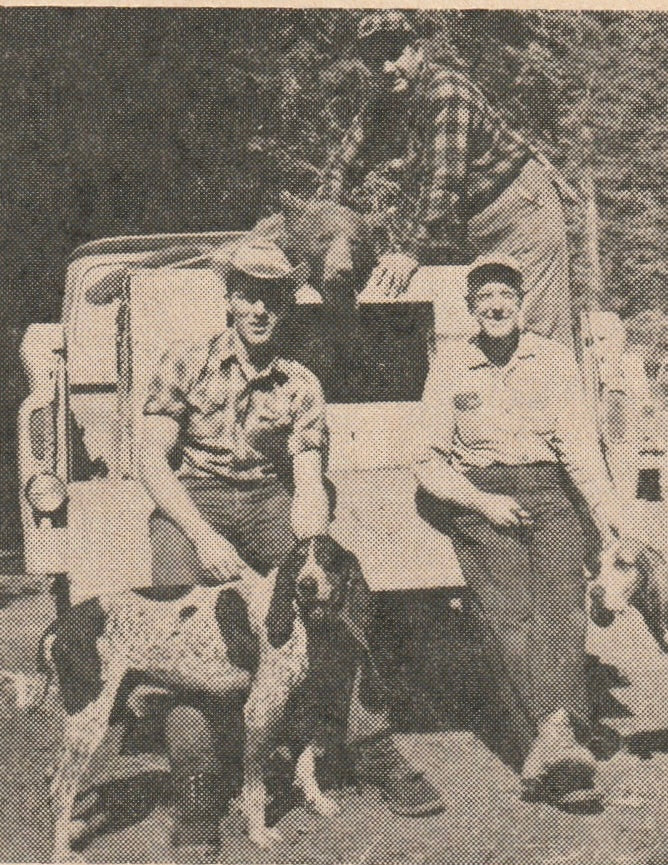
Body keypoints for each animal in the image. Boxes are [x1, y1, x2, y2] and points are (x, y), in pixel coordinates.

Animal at [0, 532, 370, 856]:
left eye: (328, 559)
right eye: (297, 562)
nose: (306, 585)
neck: (298, 618)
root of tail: (61, 623)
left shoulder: (298, 706)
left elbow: (306, 763)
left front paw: (317, 802)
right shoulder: (259, 711)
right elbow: (255, 785)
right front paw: (259, 832)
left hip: (94, 715)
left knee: (54, 778)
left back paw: (72, 829)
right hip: (90, 719)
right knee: (61, 787)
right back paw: (62, 852)